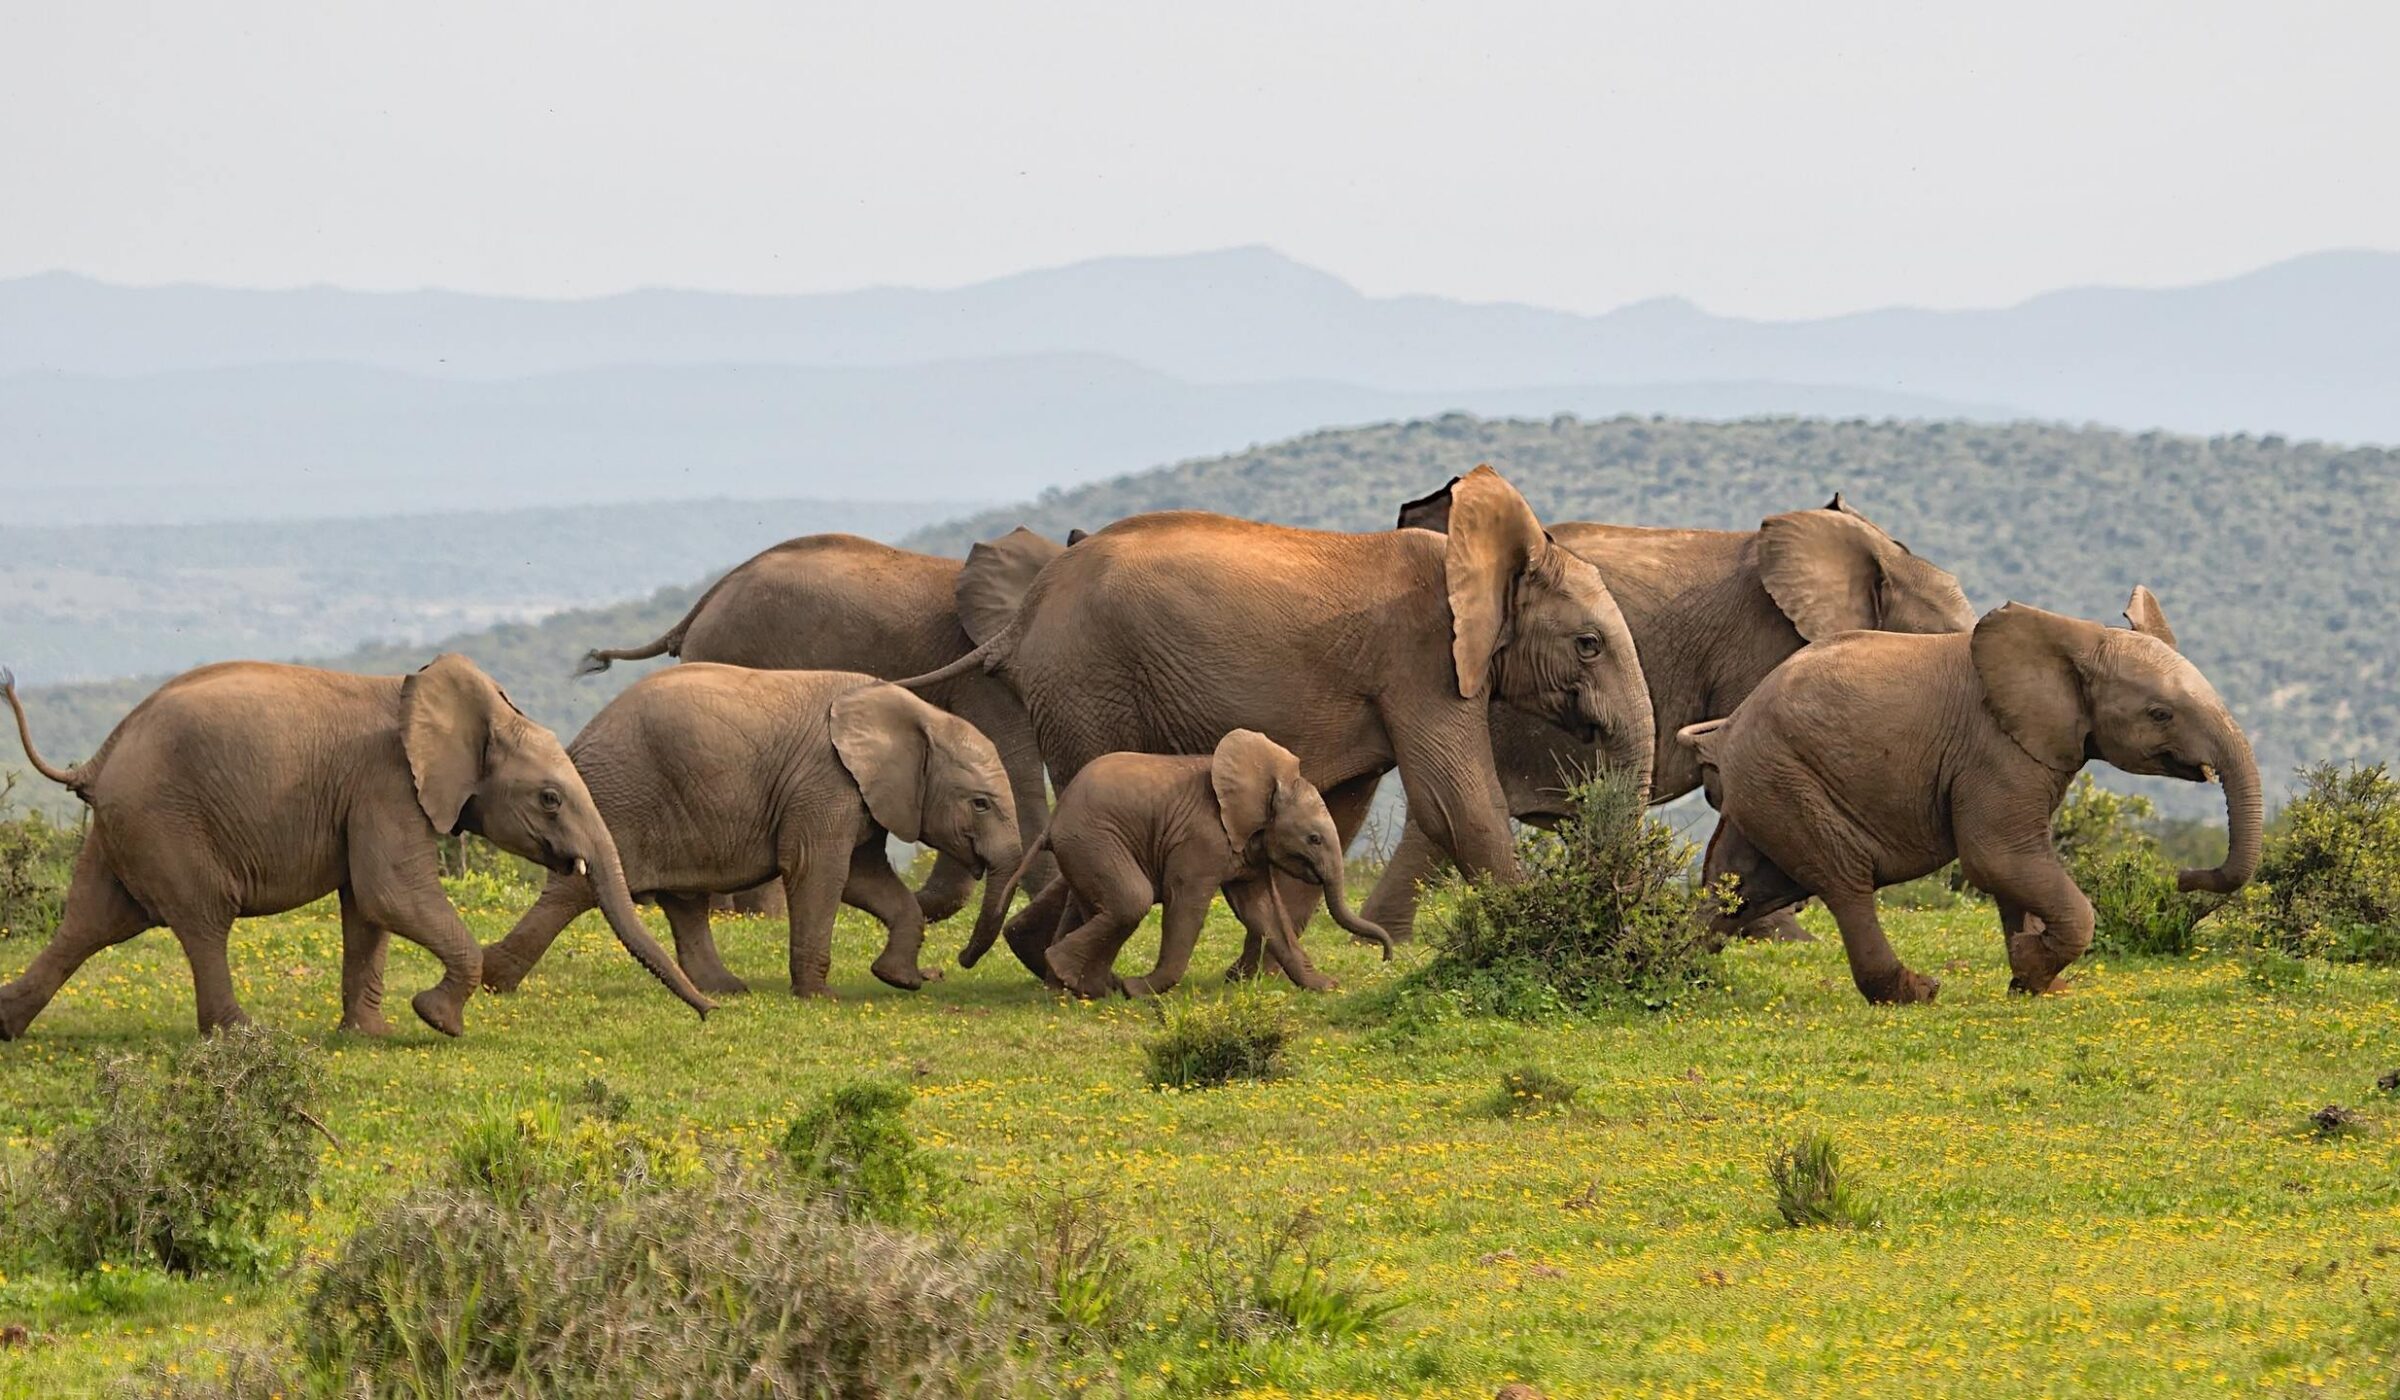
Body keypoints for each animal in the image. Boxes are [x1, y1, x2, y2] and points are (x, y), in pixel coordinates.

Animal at [0, 657, 711, 1039]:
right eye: (551, 799)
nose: (710, 1013)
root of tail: (99, 759)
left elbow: (368, 910)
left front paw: (373, 1034)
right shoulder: (386, 783)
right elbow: (390, 892)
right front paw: (438, 1021)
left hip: (124, 829)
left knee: (90, 922)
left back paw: (6, 1026)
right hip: (166, 823)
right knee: (202, 918)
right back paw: (242, 1036)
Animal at [479, 667, 1020, 1000]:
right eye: (981, 803)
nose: (952, 966)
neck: (918, 713)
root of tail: (581, 737)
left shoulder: (858, 793)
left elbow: (861, 878)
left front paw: (899, 980)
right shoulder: (826, 781)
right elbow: (817, 870)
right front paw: (821, 997)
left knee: (685, 900)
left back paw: (725, 989)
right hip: (619, 797)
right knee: (575, 891)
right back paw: (492, 978)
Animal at [974, 729, 1393, 999]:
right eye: (1314, 839)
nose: (1387, 957)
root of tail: (1054, 821)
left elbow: (1262, 911)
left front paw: (1325, 986)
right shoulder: (1200, 840)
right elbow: (1186, 907)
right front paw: (1139, 990)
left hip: (1083, 848)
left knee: (1097, 906)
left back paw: (1081, 988)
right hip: (1093, 840)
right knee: (1131, 900)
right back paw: (1089, 983)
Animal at [1680, 587, 2260, 1004]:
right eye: (2160, 713)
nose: (2183, 877)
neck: (2076, 639)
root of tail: (1729, 729)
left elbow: (2015, 869)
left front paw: (2035, 982)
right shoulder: (1994, 750)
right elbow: (1999, 858)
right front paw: (2032, 964)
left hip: (1766, 785)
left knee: (1739, 889)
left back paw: (1686, 969)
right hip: (1786, 777)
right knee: (1844, 879)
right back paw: (1916, 992)